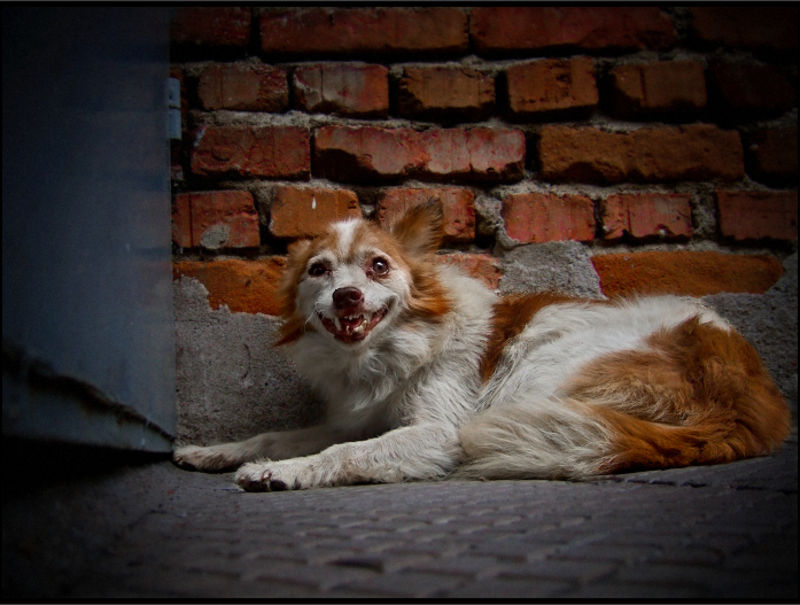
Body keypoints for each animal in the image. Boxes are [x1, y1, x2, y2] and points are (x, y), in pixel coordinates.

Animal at [174, 202, 790, 491]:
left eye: (379, 266)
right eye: (319, 271)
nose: (347, 297)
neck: (393, 351)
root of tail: (744, 395)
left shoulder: (438, 431)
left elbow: (346, 454)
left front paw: (282, 471)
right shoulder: (358, 418)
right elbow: (276, 434)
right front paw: (216, 451)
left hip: (543, 366)